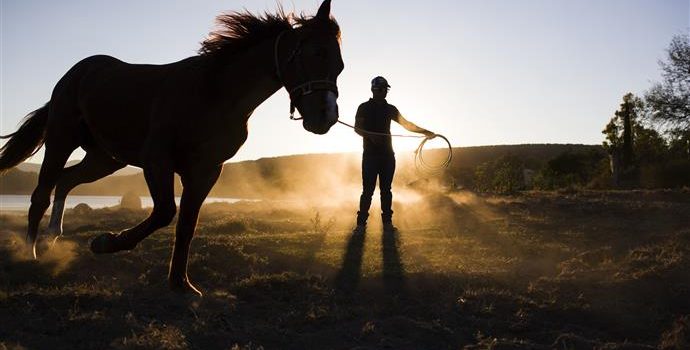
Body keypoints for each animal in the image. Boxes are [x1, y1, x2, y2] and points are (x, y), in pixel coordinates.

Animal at [0, 0, 344, 296]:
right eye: (315, 53)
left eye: (339, 65)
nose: (325, 117)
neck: (214, 94)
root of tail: (76, 73)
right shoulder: (158, 159)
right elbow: (166, 211)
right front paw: (105, 242)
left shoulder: (206, 171)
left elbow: (187, 225)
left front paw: (181, 284)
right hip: (62, 140)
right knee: (41, 194)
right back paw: (31, 252)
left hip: (106, 158)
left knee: (65, 181)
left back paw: (51, 239)